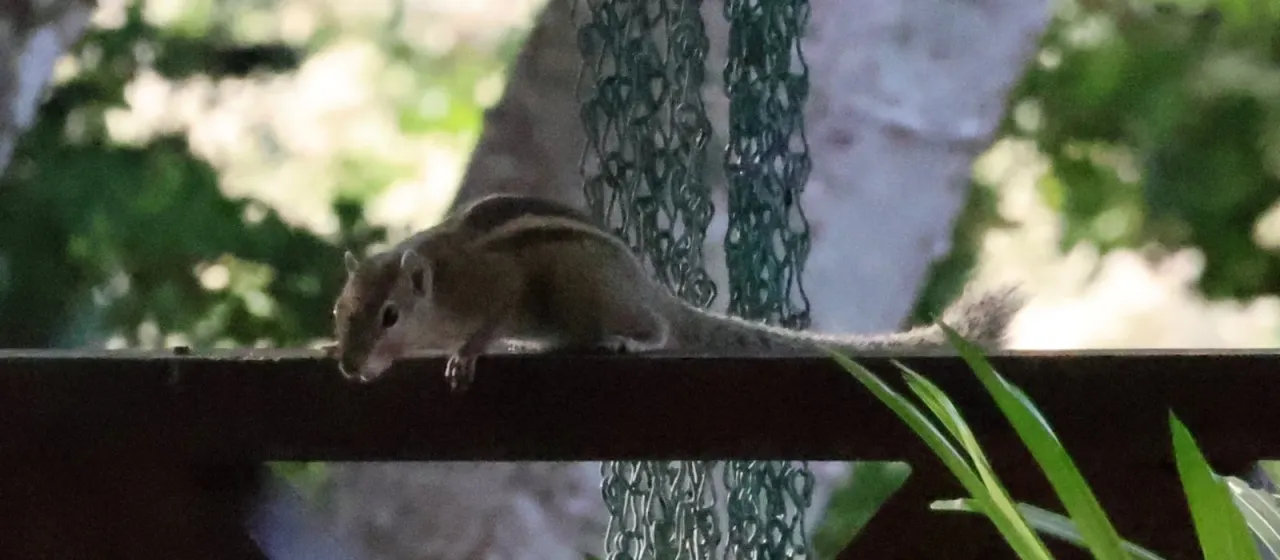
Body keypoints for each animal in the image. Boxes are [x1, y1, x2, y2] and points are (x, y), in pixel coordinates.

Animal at [331, 193, 1024, 392]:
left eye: (390, 315)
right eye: (341, 312)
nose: (348, 365)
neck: (439, 284)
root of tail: (649, 288)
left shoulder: (496, 287)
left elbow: (489, 319)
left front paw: (466, 355)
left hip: (594, 291)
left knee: (658, 330)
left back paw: (630, 341)